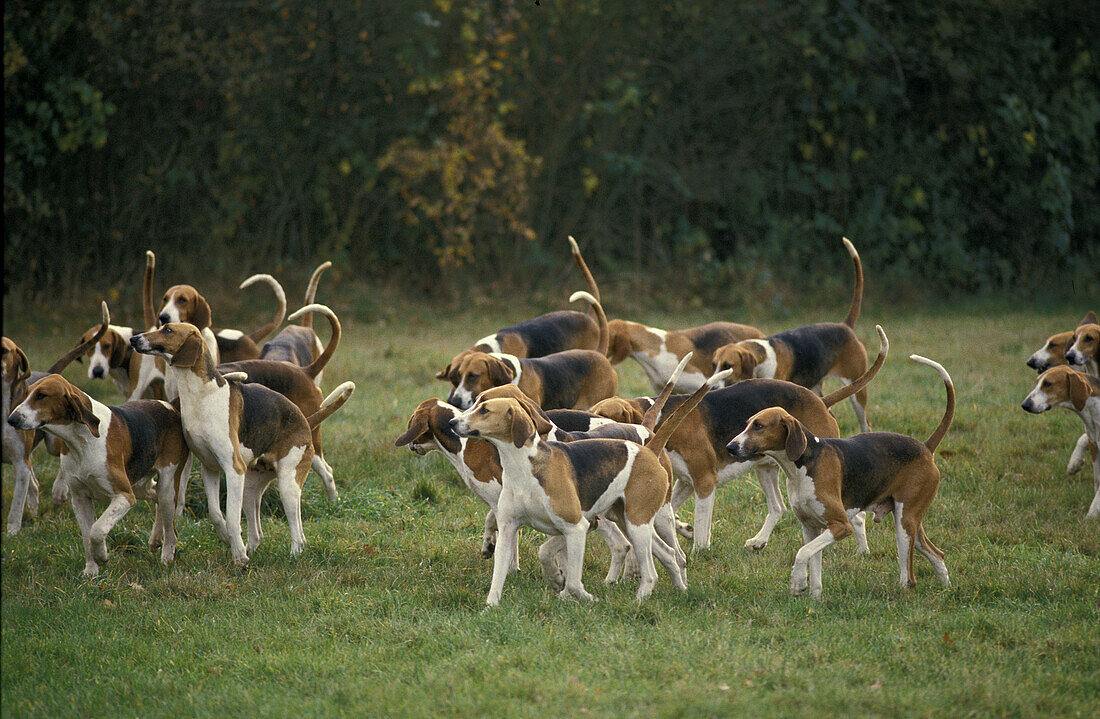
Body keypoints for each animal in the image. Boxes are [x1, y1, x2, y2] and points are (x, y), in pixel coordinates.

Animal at [6, 373, 191, 576]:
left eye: (41, 395)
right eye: (26, 394)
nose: (12, 419)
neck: (80, 441)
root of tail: (170, 406)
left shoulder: (124, 496)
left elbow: (97, 530)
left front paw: (102, 555)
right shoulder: (80, 498)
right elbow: (87, 535)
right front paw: (91, 571)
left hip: (165, 488)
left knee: (171, 529)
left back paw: (166, 558)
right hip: (139, 486)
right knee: (156, 497)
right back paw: (155, 538)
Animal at [1020, 367, 1100, 518]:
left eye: (1047, 384)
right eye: (1037, 382)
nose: (1025, 405)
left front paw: (1092, 513)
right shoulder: (1094, 444)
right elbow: (1097, 480)